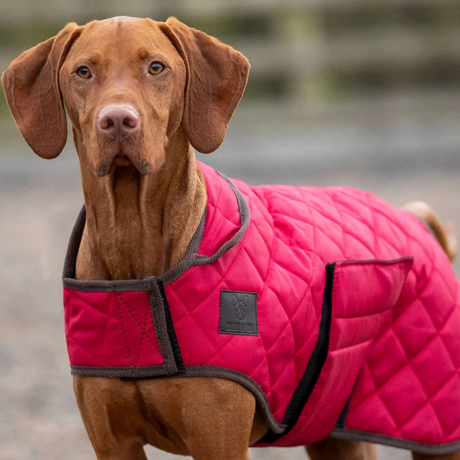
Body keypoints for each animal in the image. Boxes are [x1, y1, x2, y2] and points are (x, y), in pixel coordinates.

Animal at [3, 15, 460, 460]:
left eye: (156, 68)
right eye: (83, 72)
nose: (117, 120)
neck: (134, 243)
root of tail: (413, 219)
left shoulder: (218, 438)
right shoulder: (114, 443)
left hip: (434, 420)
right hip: (333, 424)